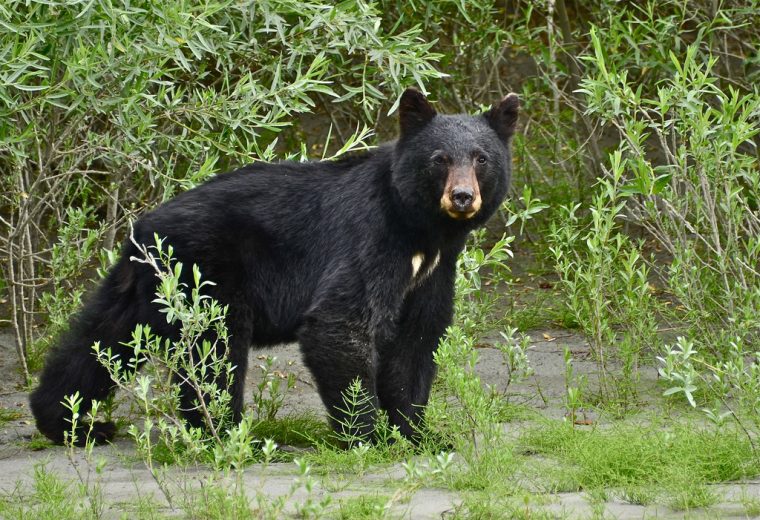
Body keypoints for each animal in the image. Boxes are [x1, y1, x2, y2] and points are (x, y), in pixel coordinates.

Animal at [28, 88, 516, 442]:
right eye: (440, 159)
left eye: (481, 158)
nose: (462, 197)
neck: (420, 229)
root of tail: (144, 229)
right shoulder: (370, 240)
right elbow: (339, 323)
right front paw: (368, 434)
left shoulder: (433, 271)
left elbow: (417, 339)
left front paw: (419, 435)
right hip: (207, 276)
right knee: (214, 351)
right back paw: (223, 430)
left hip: (143, 284)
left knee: (102, 339)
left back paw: (71, 422)